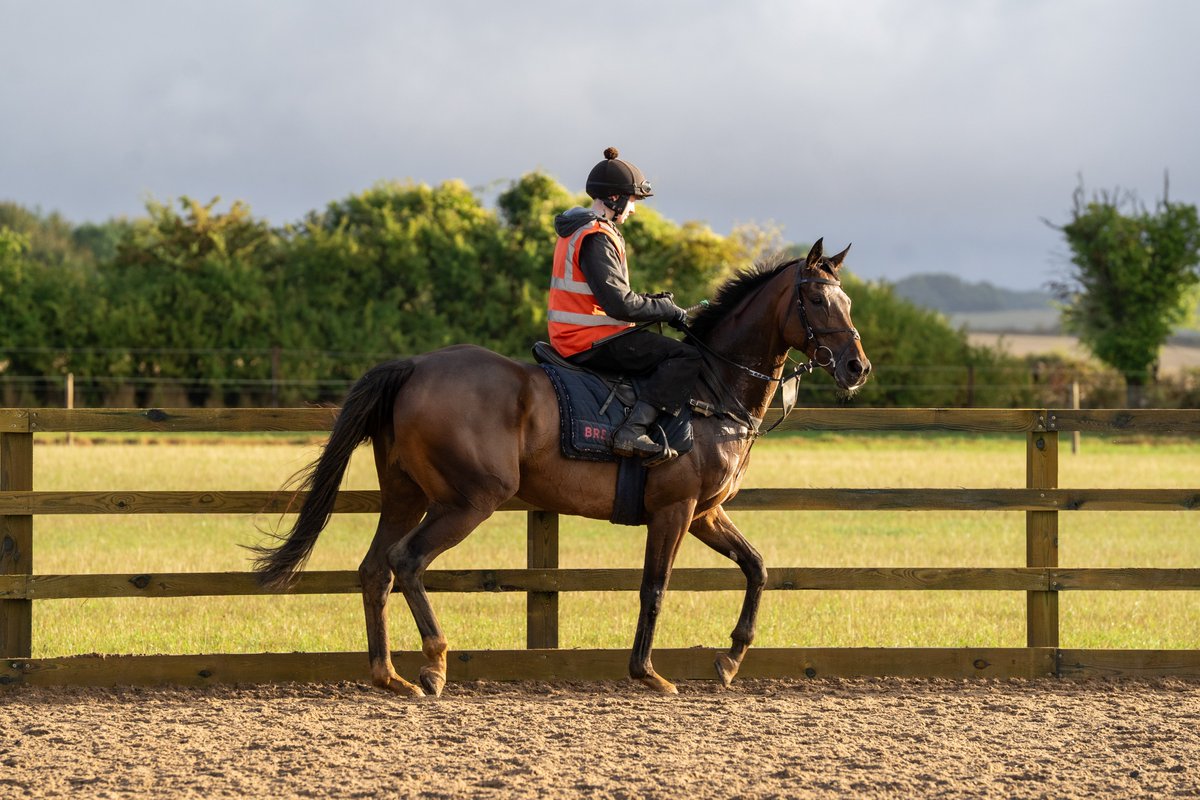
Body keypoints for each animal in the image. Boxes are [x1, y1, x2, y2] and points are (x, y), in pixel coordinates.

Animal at [251, 238, 871, 696]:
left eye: (846, 303)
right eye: (818, 302)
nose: (856, 367)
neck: (711, 391)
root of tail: (415, 366)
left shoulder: (704, 515)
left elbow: (757, 568)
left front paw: (731, 658)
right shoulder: (675, 511)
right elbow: (655, 588)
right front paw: (648, 674)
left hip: (407, 496)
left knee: (375, 570)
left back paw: (389, 675)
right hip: (468, 502)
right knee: (407, 562)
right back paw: (434, 662)